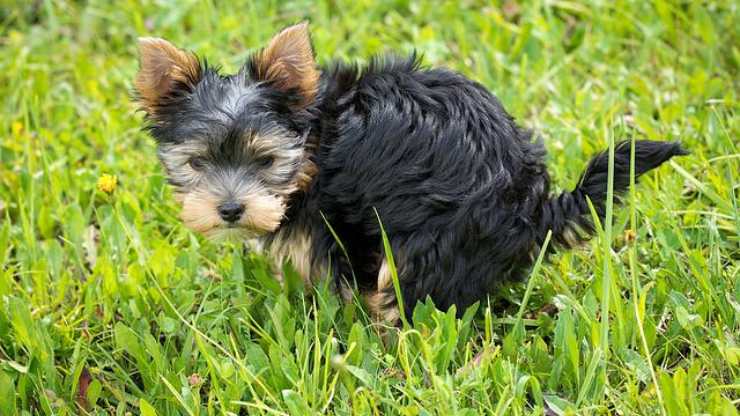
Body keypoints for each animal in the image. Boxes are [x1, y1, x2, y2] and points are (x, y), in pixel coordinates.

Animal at [134, 22, 688, 322]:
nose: (230, 209)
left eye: (266, 161)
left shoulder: (336, 224)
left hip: (433, 239)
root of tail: (533, 206)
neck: (314, 141)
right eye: (198, 162)